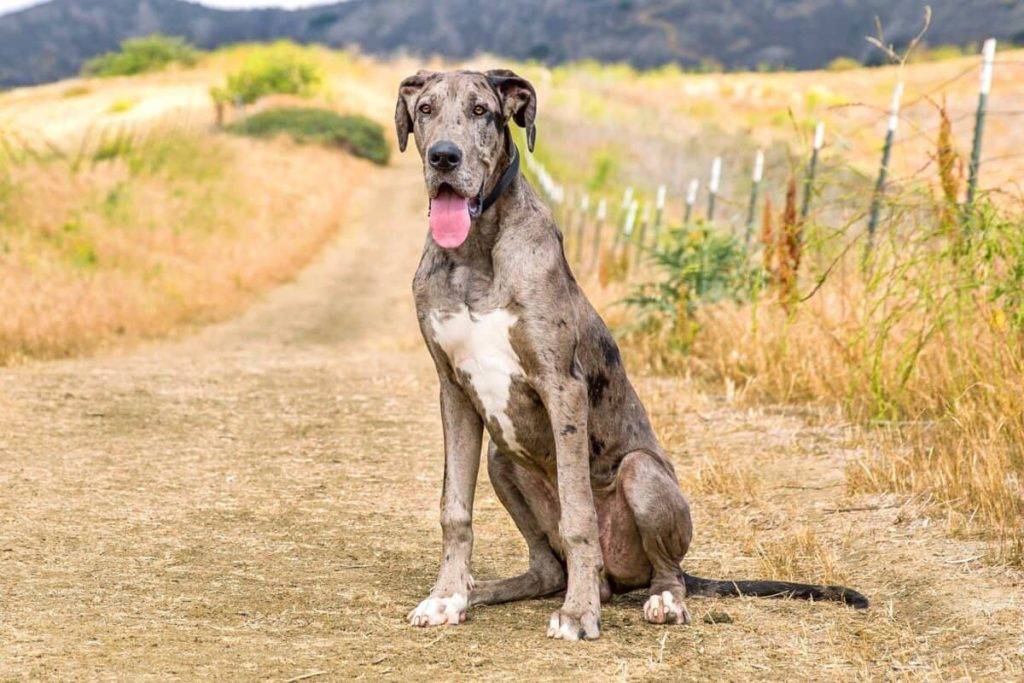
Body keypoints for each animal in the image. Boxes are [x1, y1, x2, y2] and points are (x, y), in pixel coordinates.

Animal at [391, 69, 864, 643]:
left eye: (482, 110)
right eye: (426, 109)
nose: (444, 157)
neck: (475, 253)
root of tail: (617, 579)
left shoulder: (562, 385)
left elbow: (579, 517)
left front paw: (578, 615)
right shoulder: (453, 390)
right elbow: (454, 508)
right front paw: (447, 596)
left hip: (641, 473)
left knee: (663, 570)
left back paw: (655, 600)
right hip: (503, 462)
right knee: (547, 568)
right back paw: (486, 591)